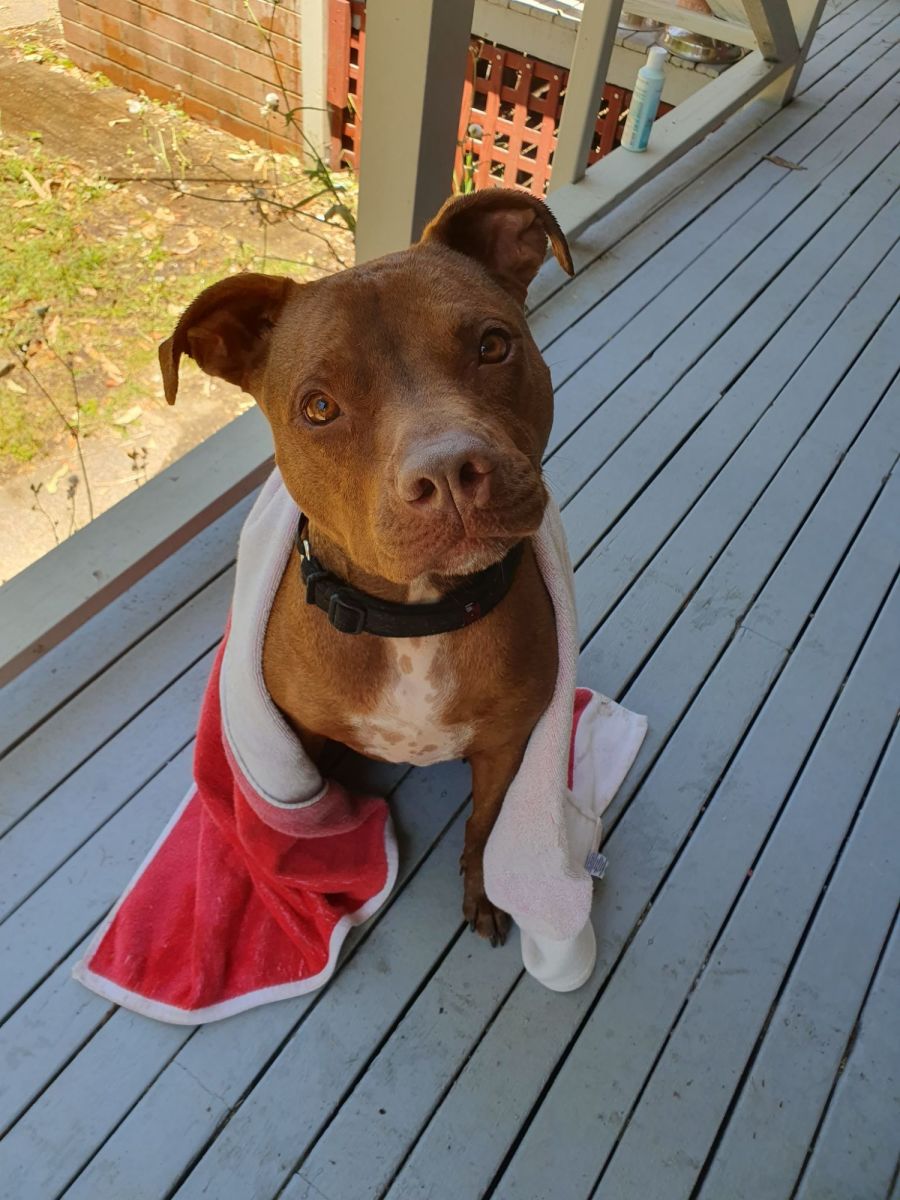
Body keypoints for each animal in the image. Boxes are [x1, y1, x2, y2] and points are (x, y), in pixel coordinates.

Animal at [159, 189, 574, 946]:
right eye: (319, 407)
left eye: (493, 345)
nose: (450, 473)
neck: (415, 623)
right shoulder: (303, 743)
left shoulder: (507, 748)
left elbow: (483, 826)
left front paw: (483, 891)